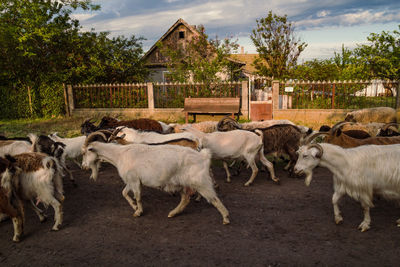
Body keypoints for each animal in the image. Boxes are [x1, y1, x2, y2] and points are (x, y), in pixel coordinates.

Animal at [82, 133, 228, 225]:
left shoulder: (134, 180)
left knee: (213, 198)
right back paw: (173, 213)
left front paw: (138, 212)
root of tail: (203, 156)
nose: (84, 166)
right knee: (185, 198)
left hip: (200, 181)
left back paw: (226, 218)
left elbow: (137, 196)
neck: (119, 154)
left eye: (85, 151)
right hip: (182, 183)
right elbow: (124, 193)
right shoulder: (132, 180)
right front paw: (134, 206)